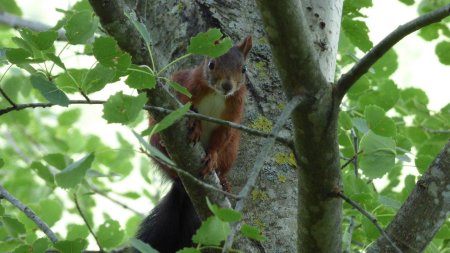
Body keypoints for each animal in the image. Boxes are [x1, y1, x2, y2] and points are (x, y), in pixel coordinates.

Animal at [149, 34, 251, 191]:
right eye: (211, 64)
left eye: (244, 69)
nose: (227, 86)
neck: (216, 94)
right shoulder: (186, 86)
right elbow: (182, 107)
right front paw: (195, 124)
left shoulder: (232, 114)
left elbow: (222, 136)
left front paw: (212, 156)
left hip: (230, 153)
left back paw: (224, 181)